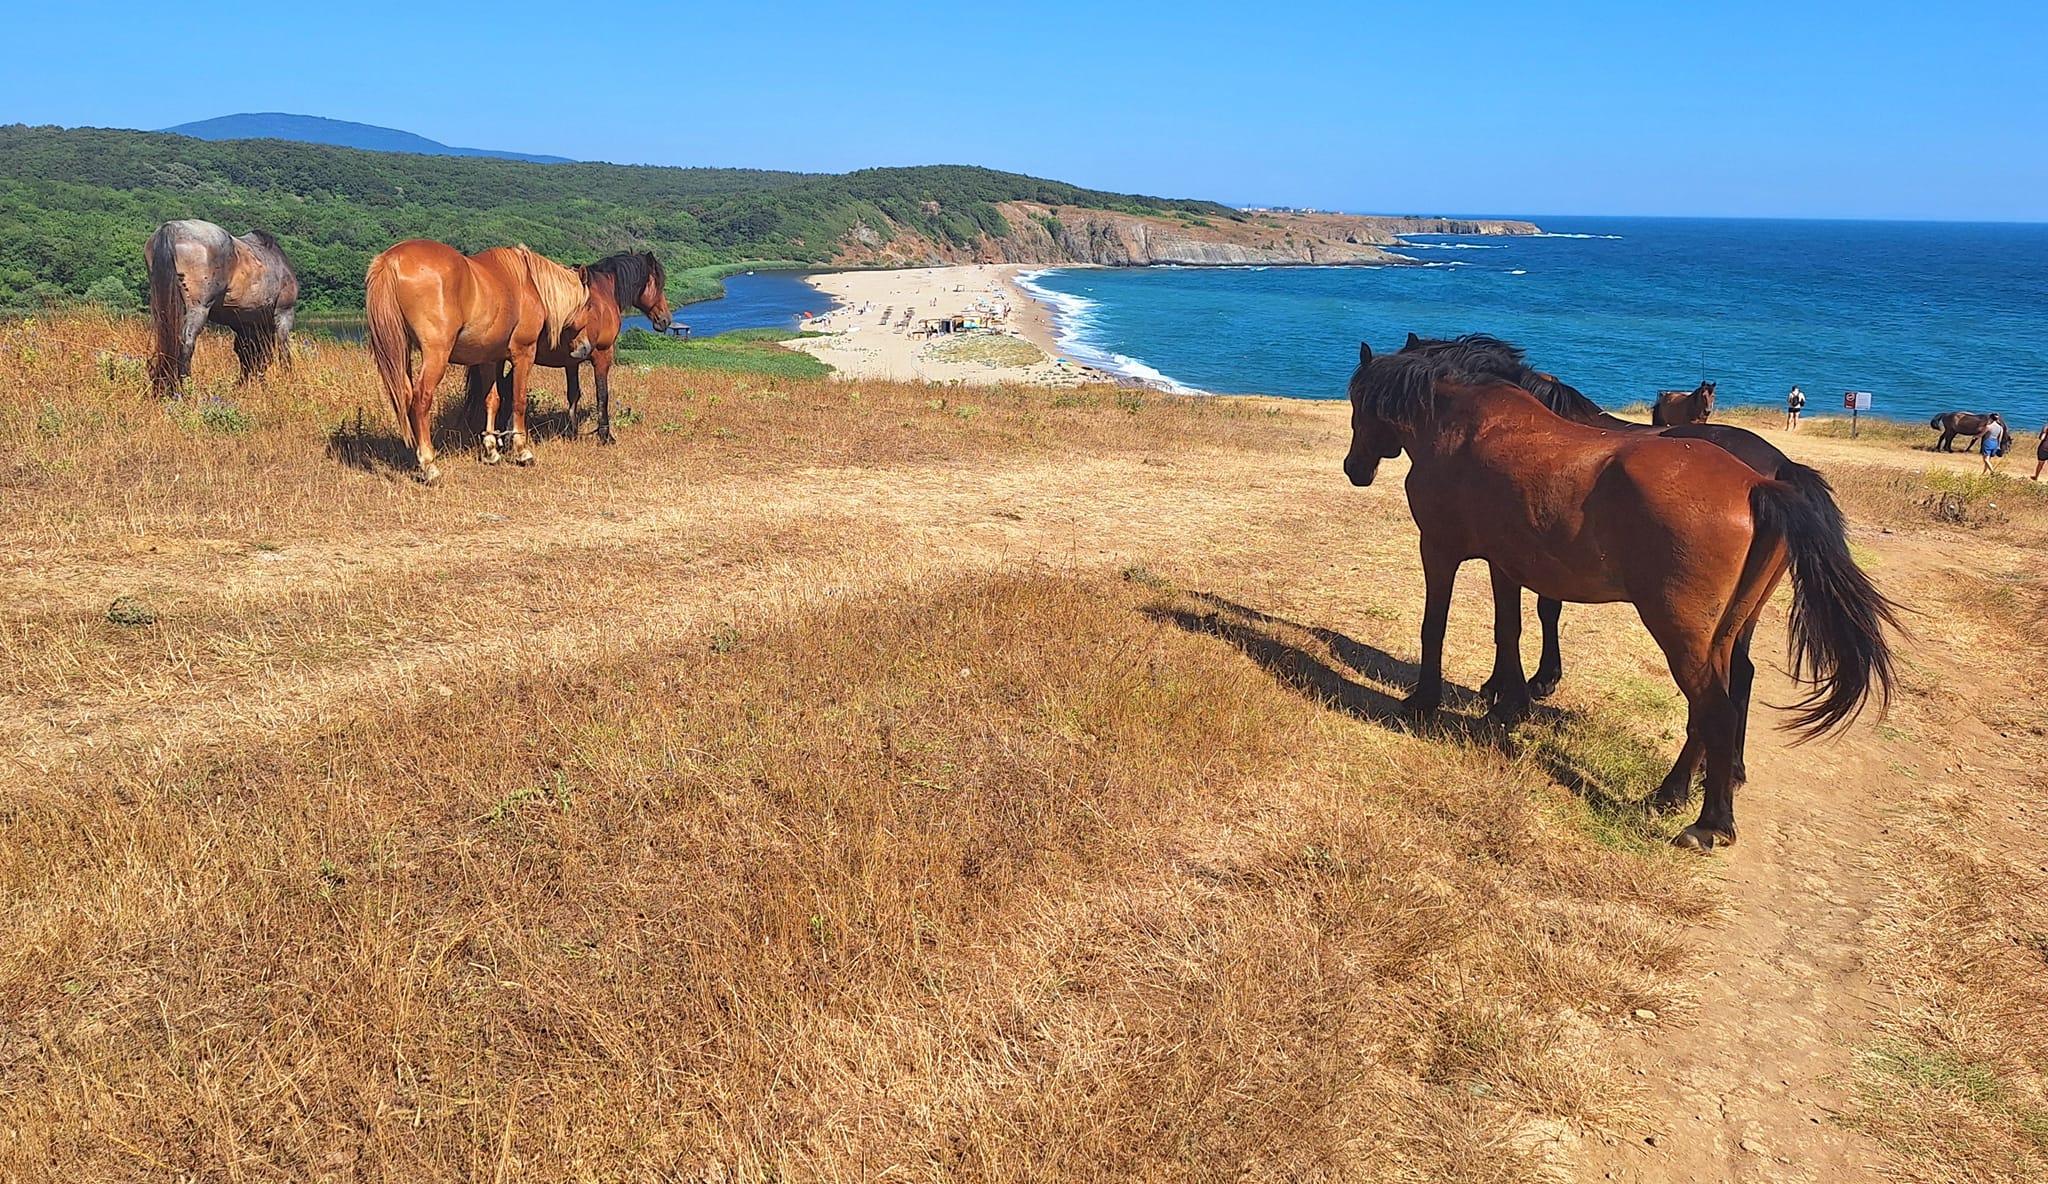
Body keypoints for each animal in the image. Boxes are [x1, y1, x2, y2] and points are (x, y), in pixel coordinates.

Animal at [144, 222, 299, 401]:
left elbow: (246, 354)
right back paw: (186, 389)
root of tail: (173, 228)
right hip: (198, 309)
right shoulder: (284, 313)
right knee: (187, 343)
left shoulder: (244, 325)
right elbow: (282, 351)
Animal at [366, 239, 593, 483]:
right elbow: (519, 401)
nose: (585, 348)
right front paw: (522, 451)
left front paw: (491, 450)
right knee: (421, 398)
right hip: (436, 355)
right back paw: (429, 464)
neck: (526, 282)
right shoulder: (524, 354)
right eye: (588, 305)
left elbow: (492, 400)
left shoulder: (488, 360)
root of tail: (392, 260)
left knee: (407, 396)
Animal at [1343, 331, 1900, 848]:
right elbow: (1511, 629)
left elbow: (1435, 626)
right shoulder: (1508, 563)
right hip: (1719, 636)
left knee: (1715, 710)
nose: (1354, 468)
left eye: (1358, 401)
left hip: (1679, 633)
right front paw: (1508, 701)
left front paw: (1425, 700)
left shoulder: (1439, 549)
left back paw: (1709, 823)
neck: (1465, 425)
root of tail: (1760, 483)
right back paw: (1673, 792)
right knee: (1713, 706)